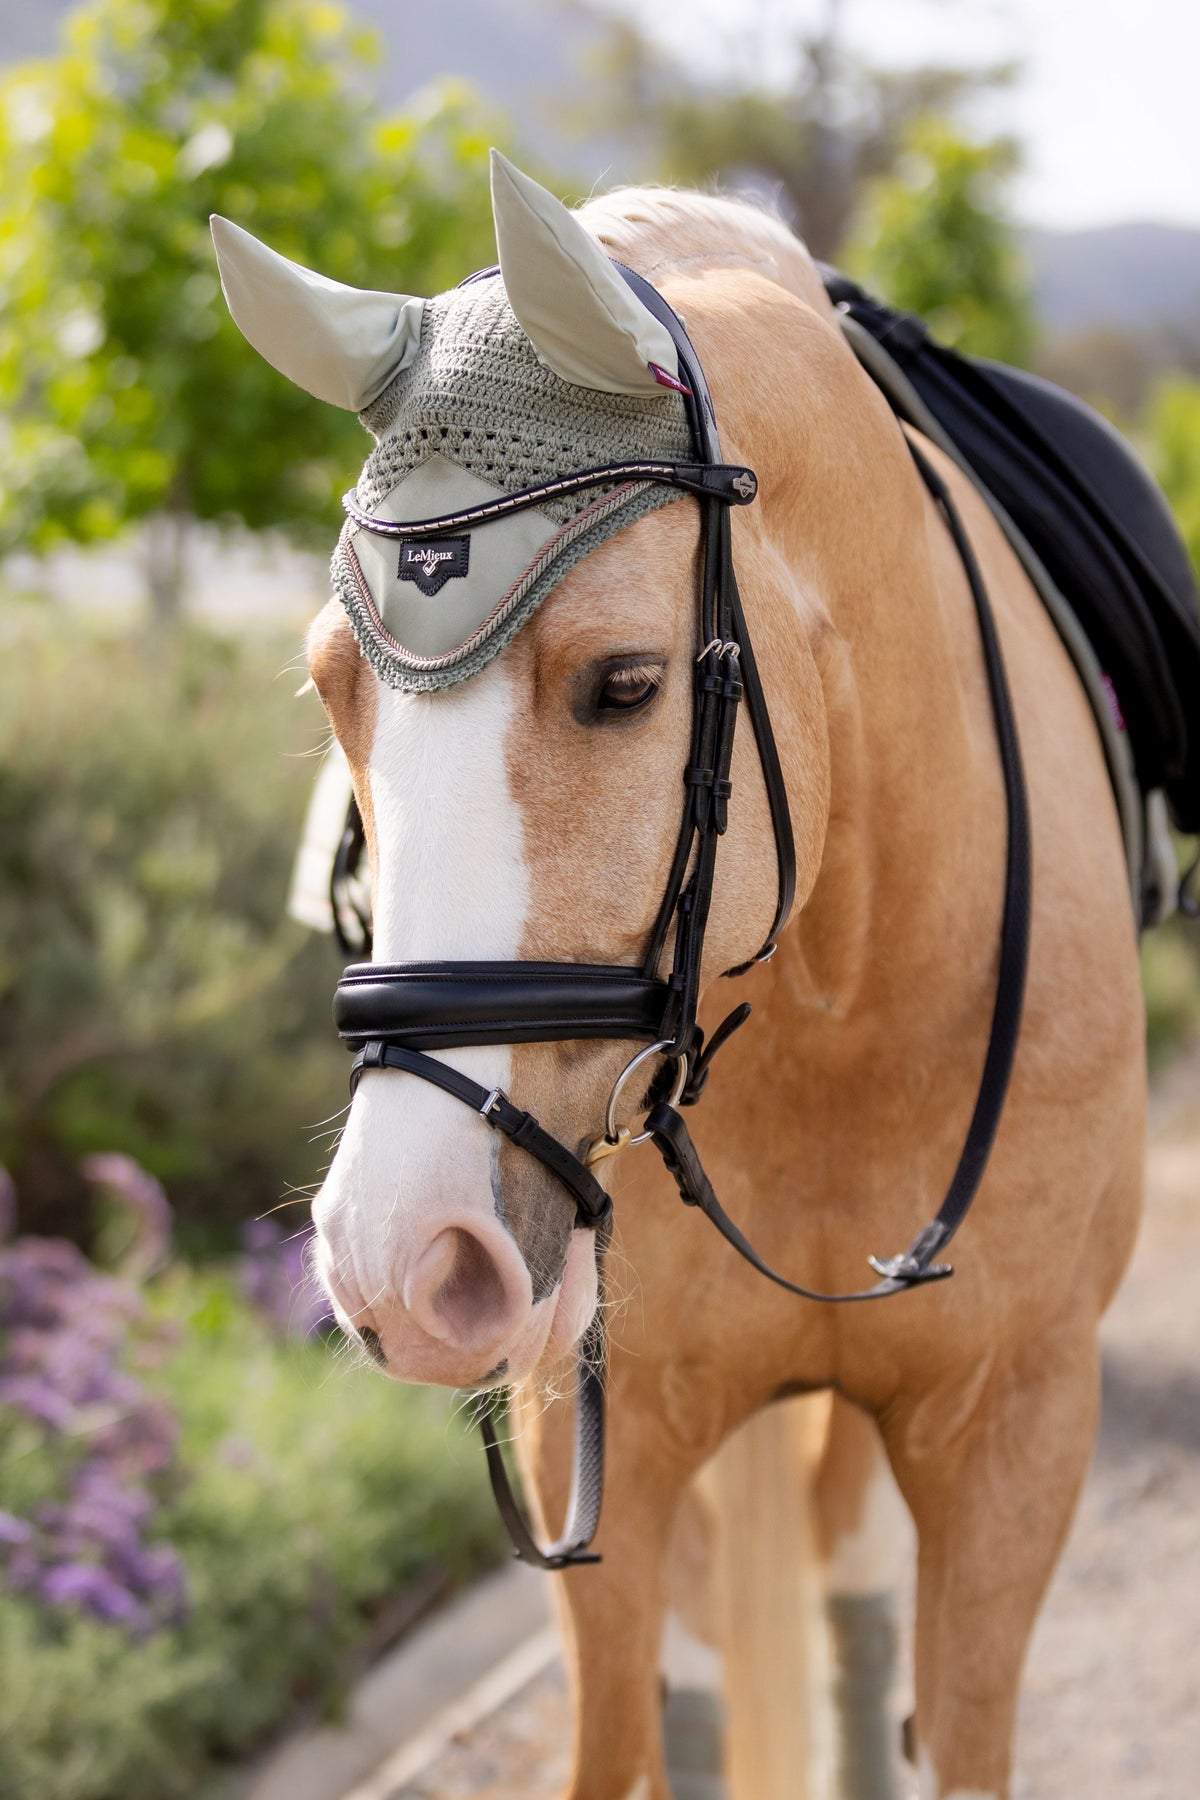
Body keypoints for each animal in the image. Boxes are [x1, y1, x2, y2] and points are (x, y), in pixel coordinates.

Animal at [215, 162, 1144, 1792]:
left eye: (628, 685)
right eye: (332, 688)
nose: (401, 1261)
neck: (848, 995)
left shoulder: (1017, 1431)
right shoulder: (599, 1430)